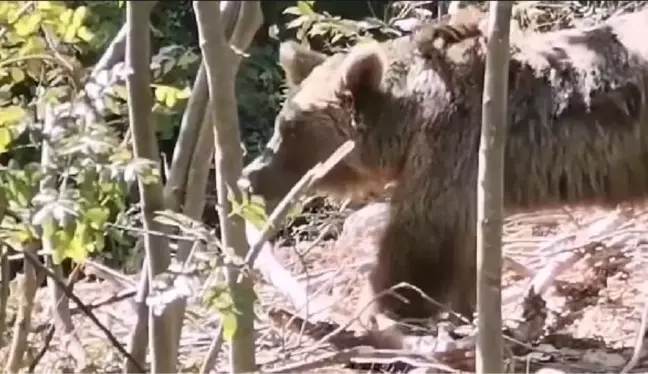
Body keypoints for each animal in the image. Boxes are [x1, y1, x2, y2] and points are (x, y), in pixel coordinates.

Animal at [240, 8, 648, 328]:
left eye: (291, 128)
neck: (410, 118)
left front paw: (380, 308)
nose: (250, 176)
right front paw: (467, 313)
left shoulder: (452, 146)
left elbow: (421, 239)